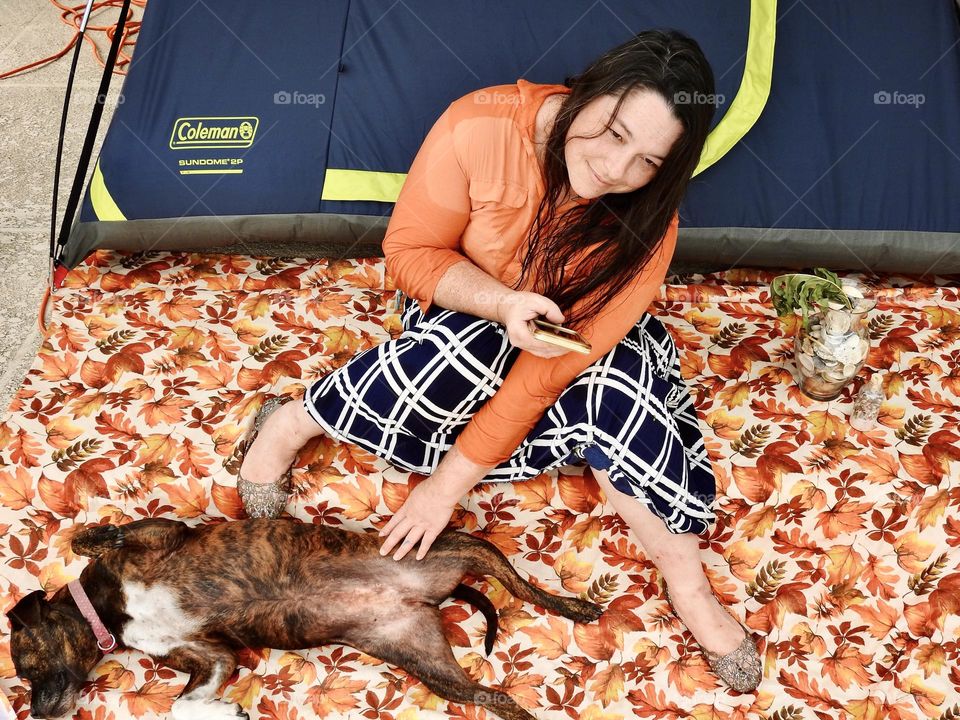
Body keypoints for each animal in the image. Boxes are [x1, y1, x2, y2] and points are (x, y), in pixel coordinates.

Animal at [9, 516, 600, 720]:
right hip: (429, 662)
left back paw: (575, 606)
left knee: (522, 585)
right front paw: (222, 712)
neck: (107, 615)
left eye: (25, 664)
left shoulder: (163, 534)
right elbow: (180, 704)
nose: (36, 713)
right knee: (498, 699)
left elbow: (87, 537)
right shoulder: (211, 657)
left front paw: (94, 538)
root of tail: (429, 599)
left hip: (459, 547)